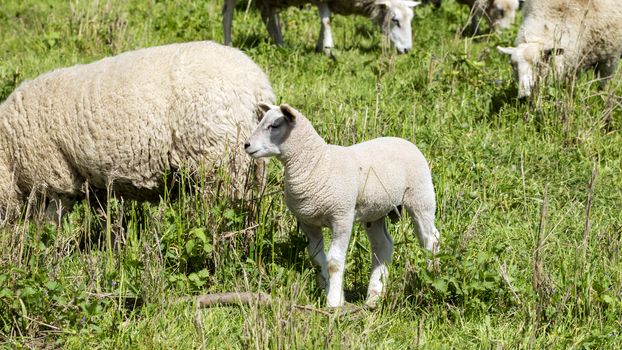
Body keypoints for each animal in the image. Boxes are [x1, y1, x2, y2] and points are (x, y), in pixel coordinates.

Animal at [0, 41, 276, 221]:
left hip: (218, 160)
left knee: (223, 208)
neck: (8, 153)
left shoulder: (54, 178)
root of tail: (256, 83)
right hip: (251, 163)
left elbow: (46, 223)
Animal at [222, 0, 422, 54]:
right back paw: (228, 43)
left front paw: (320, 46)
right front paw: (328, 48)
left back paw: (281, 44)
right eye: (395, 20)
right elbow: (326, 20)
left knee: (269, 17)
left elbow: (326, 19)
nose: (407, 50)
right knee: (227, 14)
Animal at [246, 102, 442, 308]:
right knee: (383, 246)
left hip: (421, 197)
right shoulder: (308, 222)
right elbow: (317, 259)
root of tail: (403, 140)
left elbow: (334, 262)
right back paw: (374, 296)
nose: (246, 145)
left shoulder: (341, 216)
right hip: (376, 211)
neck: (316, 163)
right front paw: (329, 289)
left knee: (430, 239)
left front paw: (333, 302)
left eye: (274, 126)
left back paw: (432, 277)